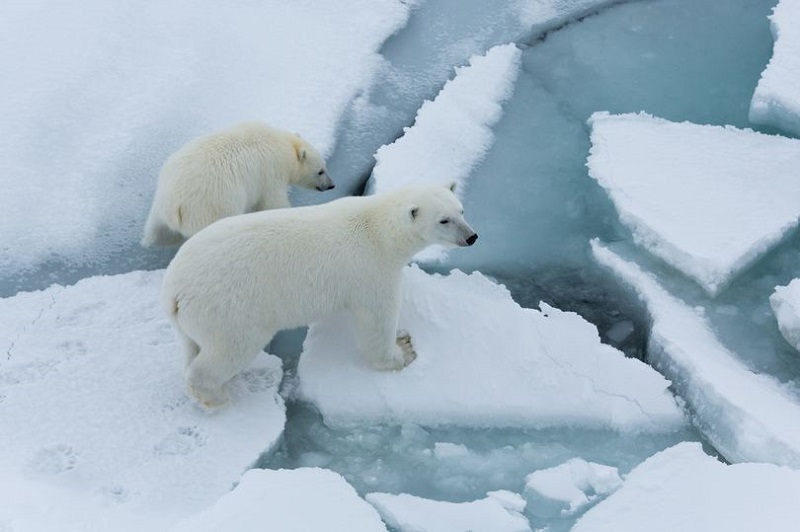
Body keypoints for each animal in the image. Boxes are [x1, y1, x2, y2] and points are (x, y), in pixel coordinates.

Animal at [141, 121, 334, 246]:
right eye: (320, 171)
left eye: (324, 166)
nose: (331, 185)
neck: (283, 145)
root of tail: (176, 205)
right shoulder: (270, 175)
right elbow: (273, 203)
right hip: (212, 206)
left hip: (159, 208)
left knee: (157, 233)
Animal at [162, 183, 476, 408]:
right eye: (444, 220)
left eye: (461, 211)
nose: (472, 237)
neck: (379, 230)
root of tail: (174, 290)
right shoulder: (371, 270)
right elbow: (377, 320)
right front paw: (403, 351)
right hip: (229, 307)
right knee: (231, 348)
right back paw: (216, 396)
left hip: (194, 319)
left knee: (193, 346)